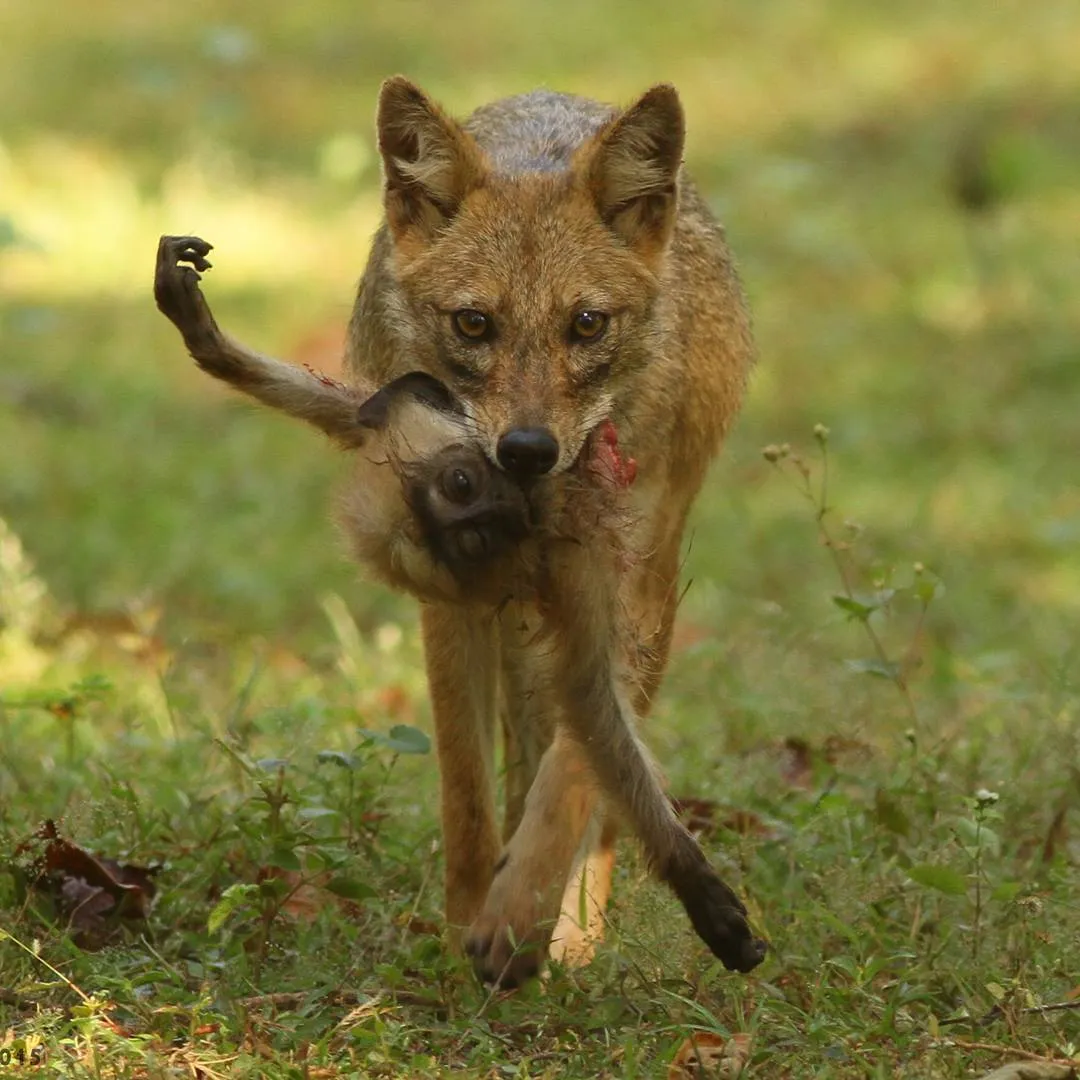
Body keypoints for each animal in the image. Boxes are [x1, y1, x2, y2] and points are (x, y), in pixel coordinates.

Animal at [154, 236, 768, 989]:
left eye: (461, 483)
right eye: (471, 538)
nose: (495, 514)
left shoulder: (560, 537)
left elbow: (591, 693)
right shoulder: (548, 553)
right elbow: (587, 696)